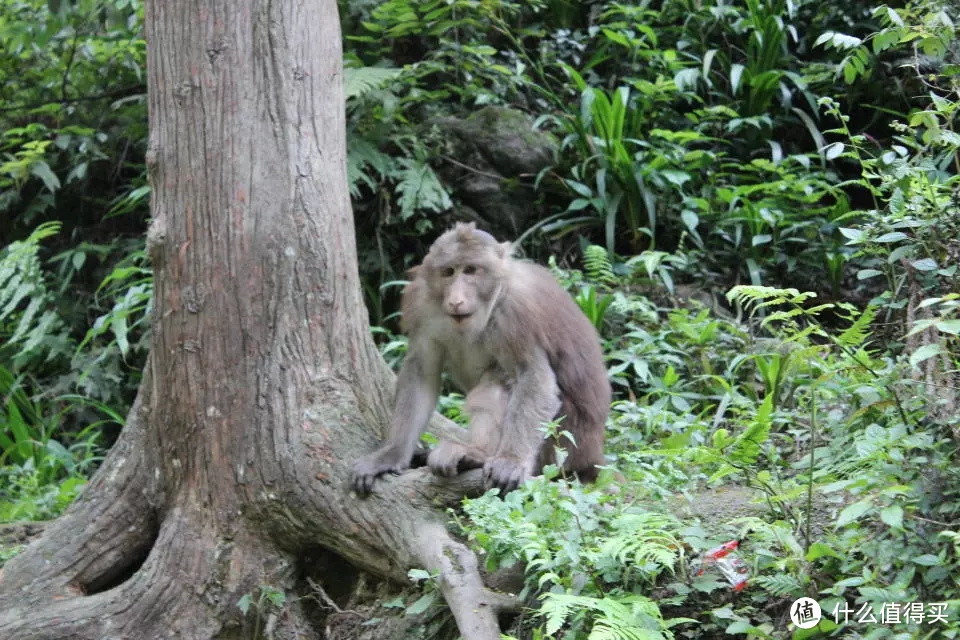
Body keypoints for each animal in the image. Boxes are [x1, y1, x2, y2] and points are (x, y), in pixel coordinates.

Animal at [348, 224, 612, 496]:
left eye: (471, 270)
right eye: (448, 272)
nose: (455, 299)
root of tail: (593, 455)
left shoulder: (515, 313)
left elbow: (533, 378)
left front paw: (510, 460)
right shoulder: (422, 304)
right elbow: (421, 372)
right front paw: (392, 455)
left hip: (565, 442)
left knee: (500, 383)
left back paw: (478, 455)